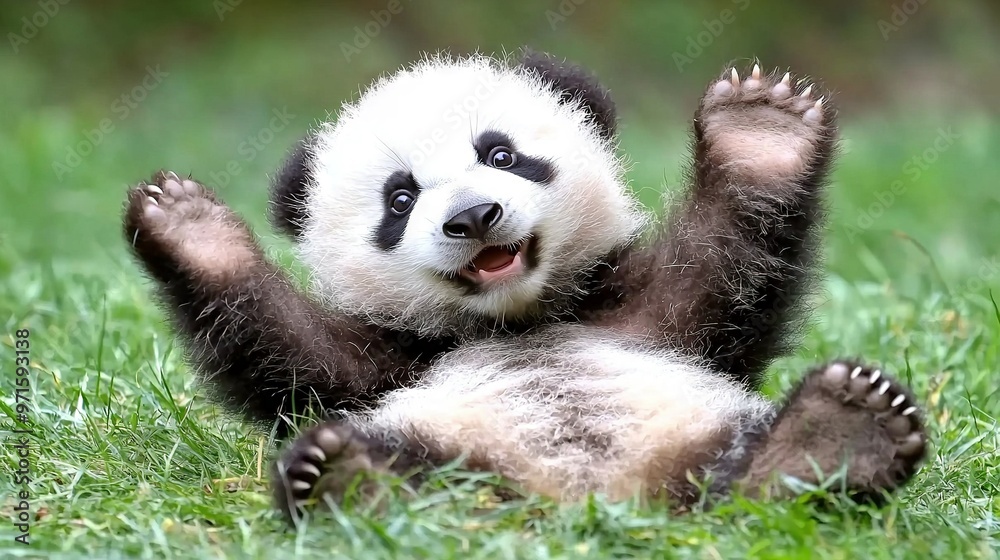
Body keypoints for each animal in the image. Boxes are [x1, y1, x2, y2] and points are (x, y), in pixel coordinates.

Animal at [122, 50, 928, 523]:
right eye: (400, 199)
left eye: (501, 154)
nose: (474, 218)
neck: (515, 320)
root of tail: (598, 500)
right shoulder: (394, 363)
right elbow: (292, 353)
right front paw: (189, 224)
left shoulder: (640, 316)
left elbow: (722, 271)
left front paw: (761, 127)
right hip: (451, 447)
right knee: (421, 482)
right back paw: (349, 482)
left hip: (699, 426)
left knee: (740, 476)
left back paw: (829, 437)